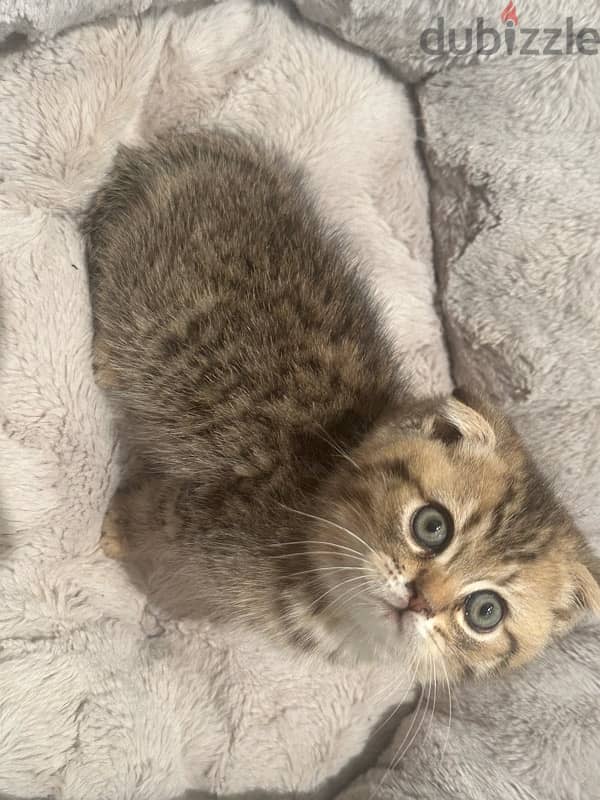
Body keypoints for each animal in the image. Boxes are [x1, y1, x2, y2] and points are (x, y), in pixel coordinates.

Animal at [84, 128, 600, 680]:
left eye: (485, 612)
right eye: (432, 526)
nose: (420, 600)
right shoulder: (193, 512)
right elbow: (148, 515)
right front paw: (118, 532)